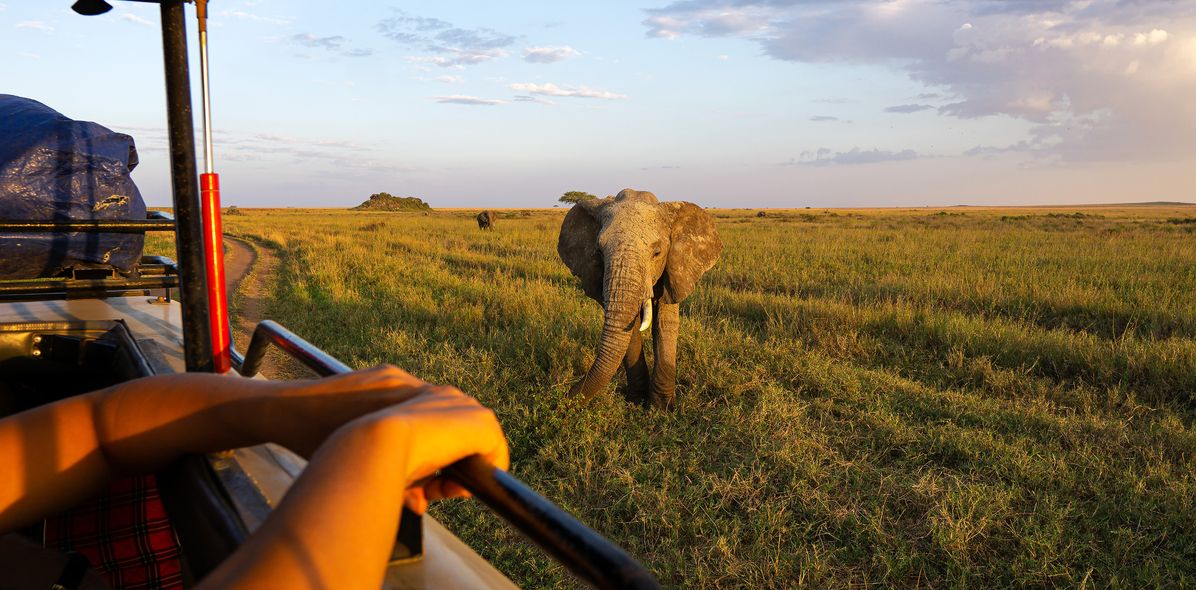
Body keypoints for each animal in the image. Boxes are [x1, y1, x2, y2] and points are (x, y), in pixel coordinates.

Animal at [557, 189, 722, 409]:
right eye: (598, 252)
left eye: (657, 253)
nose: (563, 398)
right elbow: (631, 326)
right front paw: (636, 400)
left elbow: (664, 321)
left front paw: (662, 407)